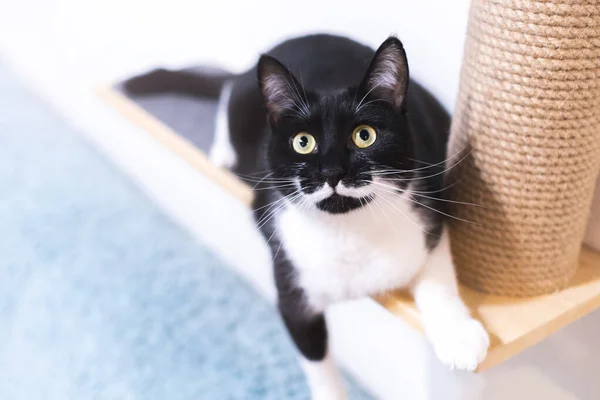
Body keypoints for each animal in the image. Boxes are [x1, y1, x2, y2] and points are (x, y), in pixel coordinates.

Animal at [125, 33, 488, 400]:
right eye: (303, 142)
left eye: (365, 135)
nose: (332, 172)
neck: (348, 232)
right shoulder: (291, 276)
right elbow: (318, 364)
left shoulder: (429, 205)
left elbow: (437, 271)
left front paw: (459, 336)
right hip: (243, 99)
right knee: (227, 95)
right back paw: (221, 154)